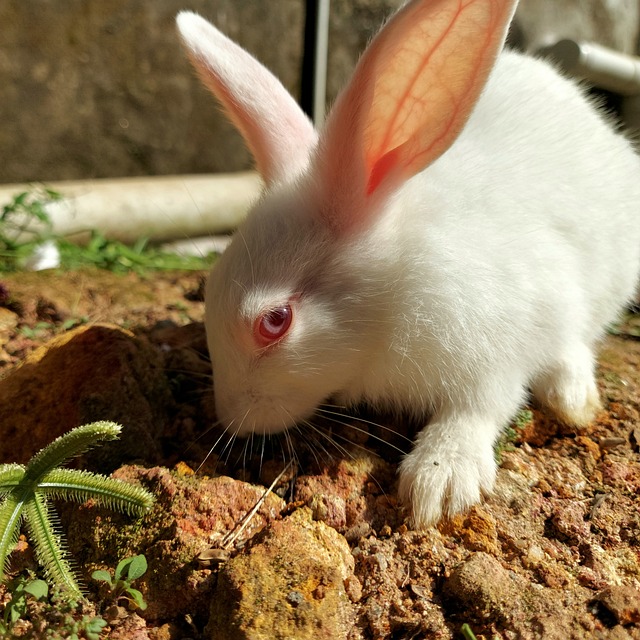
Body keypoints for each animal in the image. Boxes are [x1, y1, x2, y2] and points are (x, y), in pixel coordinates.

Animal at [178, 1, 640, 524]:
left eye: (275, 321)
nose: (230, 417)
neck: (393, 297)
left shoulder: (497, 352)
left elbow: (478, 409)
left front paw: (438, 483)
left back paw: (571, 395)